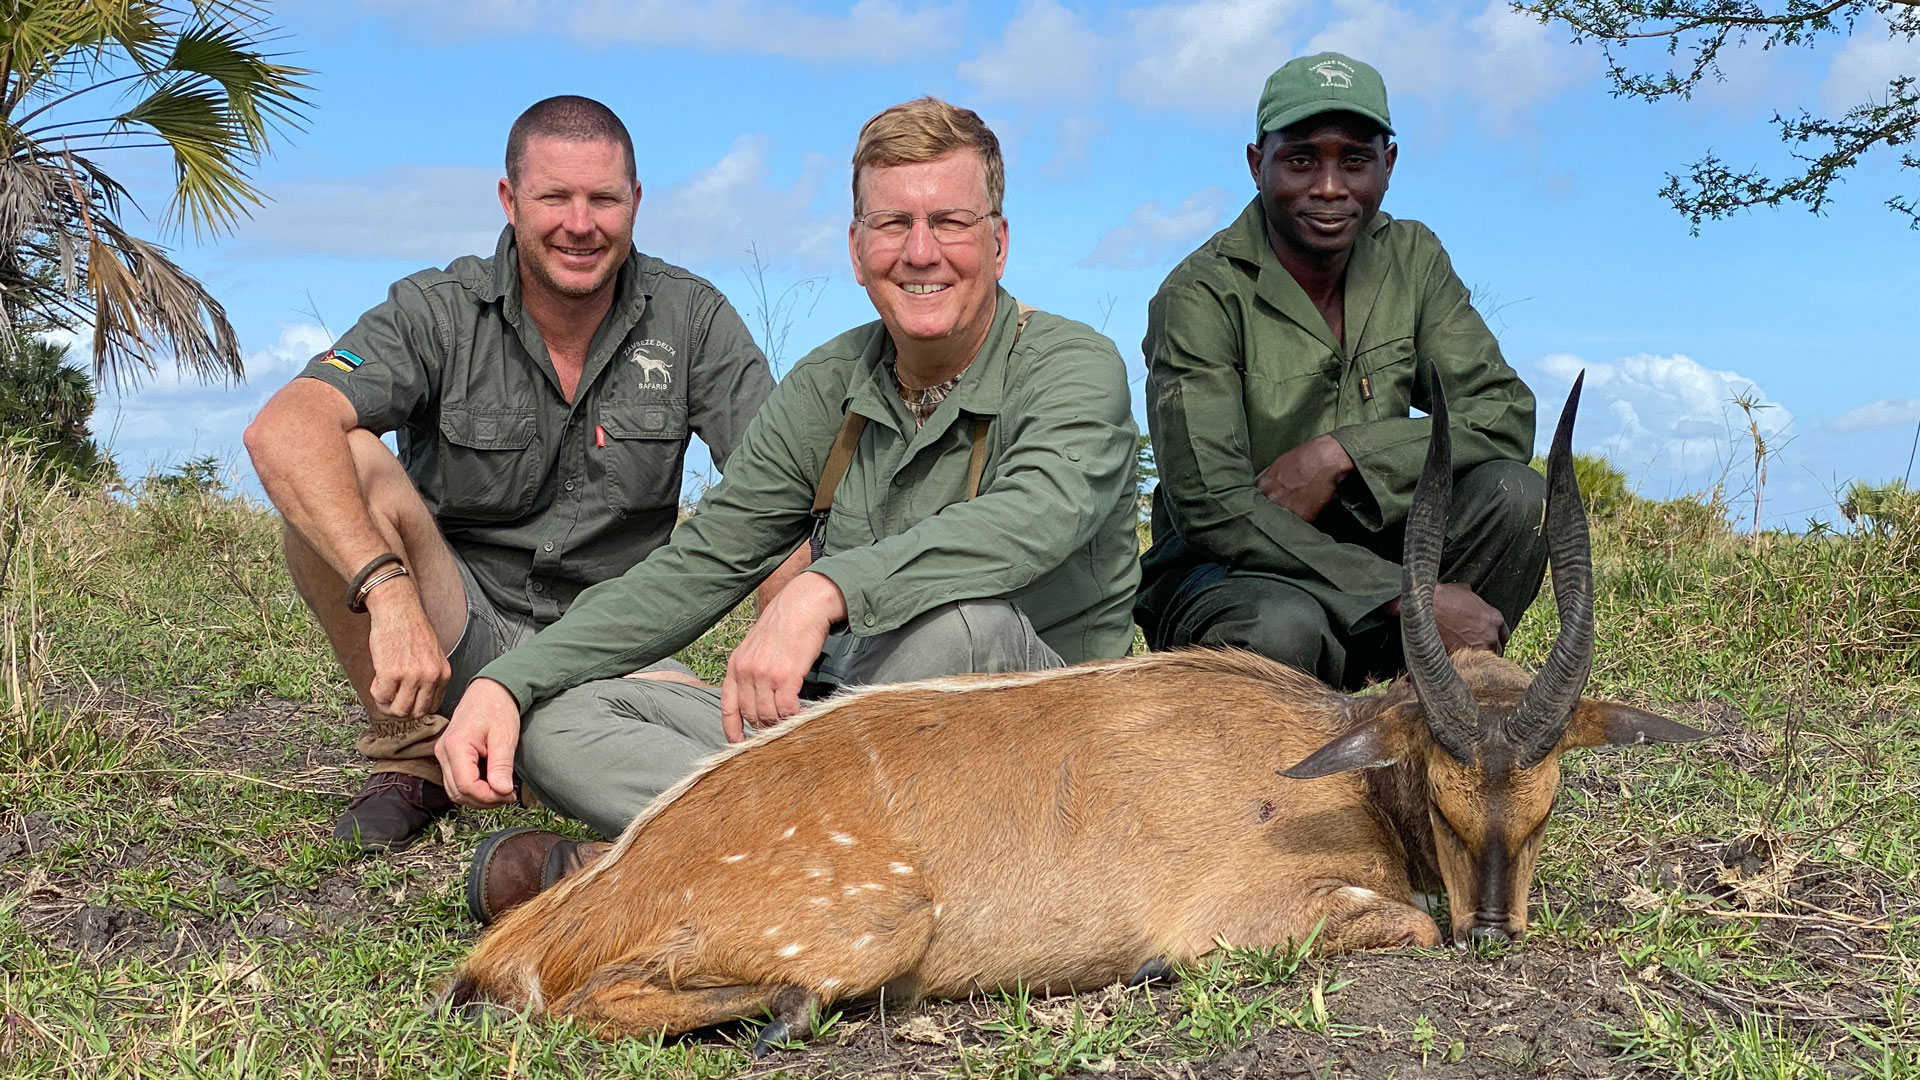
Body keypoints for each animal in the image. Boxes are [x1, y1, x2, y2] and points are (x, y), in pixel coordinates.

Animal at [441, 368, 1704, 1045]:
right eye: (1440, 790)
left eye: (1549, 800)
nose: (1497, 927)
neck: (1322, 764)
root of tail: (558, 920)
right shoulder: (1243, 911)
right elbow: (1400, 924)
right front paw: (1147, 973)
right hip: (870, 929)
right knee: (581, 1003)